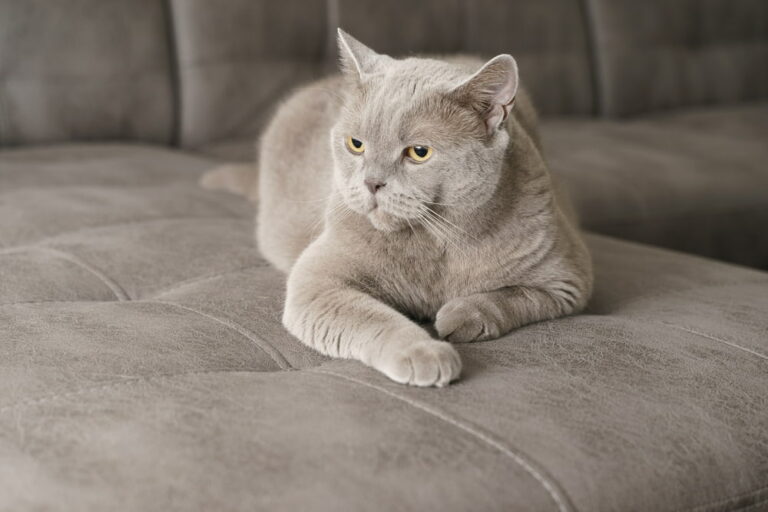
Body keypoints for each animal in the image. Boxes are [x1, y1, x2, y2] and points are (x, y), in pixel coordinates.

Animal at [201, 30, 592, 386]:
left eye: (419, 152)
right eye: (356, 144)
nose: (371, 182)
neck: (436, 242)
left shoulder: (566, 278)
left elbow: (512, 296)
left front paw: (460, 316)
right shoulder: (318, 281)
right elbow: (373, 317)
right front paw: (425, 353)